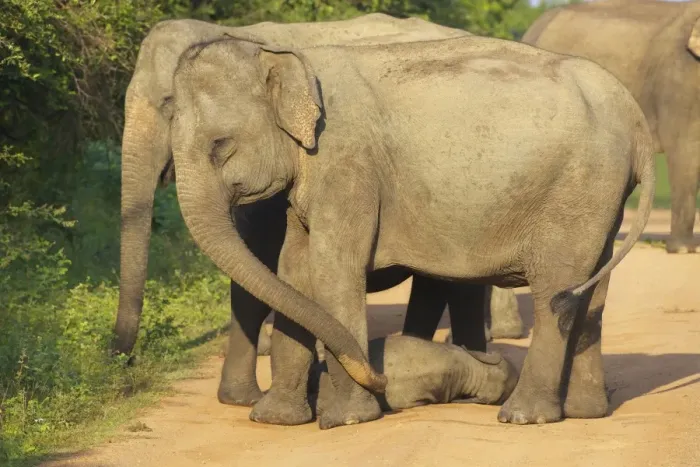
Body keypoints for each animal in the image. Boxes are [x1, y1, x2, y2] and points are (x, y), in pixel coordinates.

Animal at [114, 13, 524, 407]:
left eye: (167, 105)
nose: (122, 364)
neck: (231, 33)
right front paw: (240, 400)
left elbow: (259, 259)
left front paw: (246, 398)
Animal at [168, 34, 654, 429]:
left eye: (220, 145)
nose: (383, 377)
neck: (290, 58)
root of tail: (636, 120)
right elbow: (293, 271)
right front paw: (275, 421)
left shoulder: (347, 164)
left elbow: (333, 269)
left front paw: (347, 420)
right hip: (600, 200)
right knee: (591, 293)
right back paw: (584, 412)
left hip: (577, 190)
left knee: (556, 289)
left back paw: (522, 416)